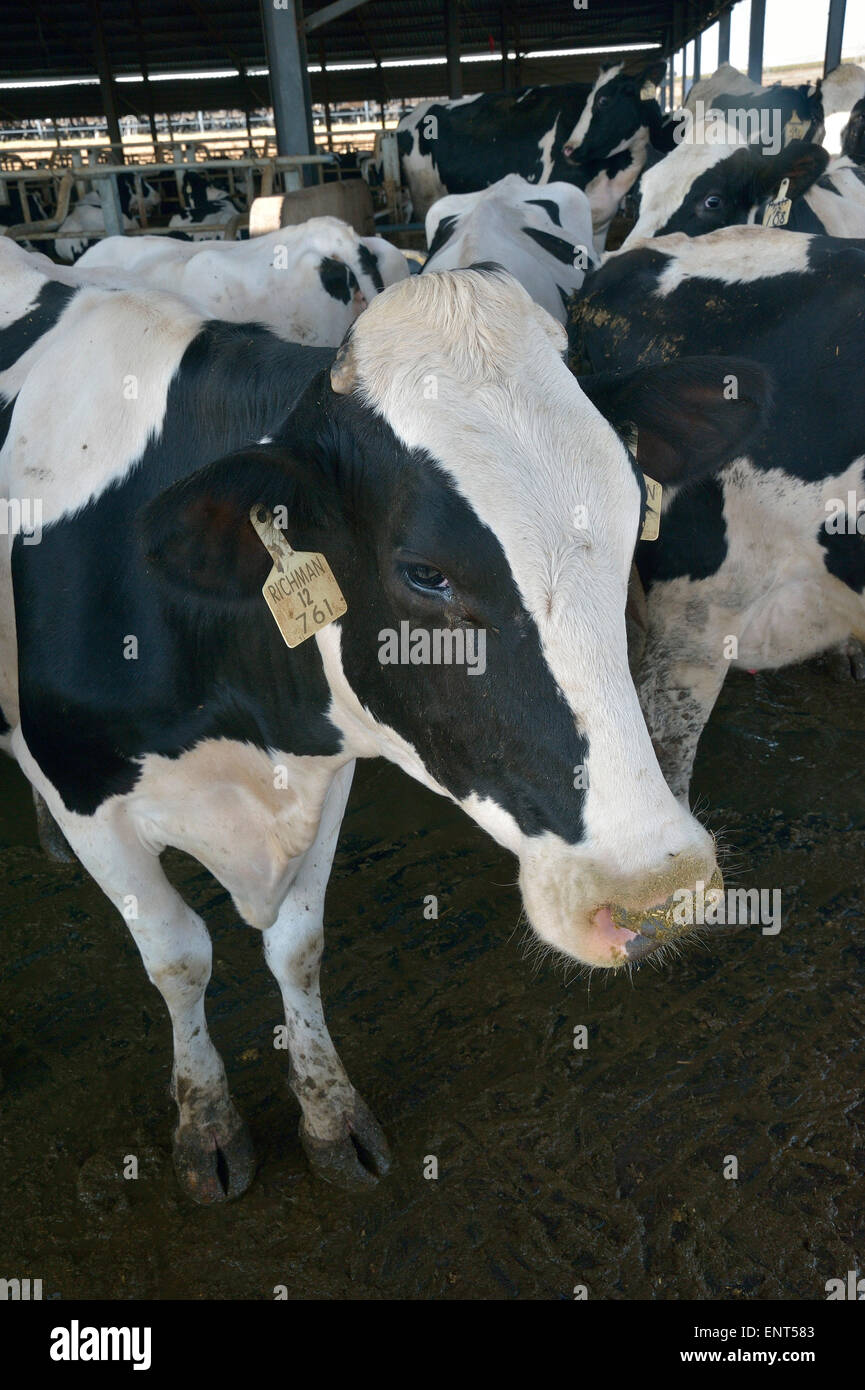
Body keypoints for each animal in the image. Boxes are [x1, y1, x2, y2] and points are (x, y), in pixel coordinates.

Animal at [1, 240, 769, 1200]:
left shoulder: (326, 771)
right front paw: (206, 1122)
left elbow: (296, 945)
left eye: (637, 520)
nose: (655, 892)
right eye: (423, 572)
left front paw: (328, 1113)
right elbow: (178, 955)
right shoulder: (87, 792)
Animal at [397, 62, 667, 248]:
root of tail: (413, 110)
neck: (611, 171)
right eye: (596, 99)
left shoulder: (602, 220)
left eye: (603, 100)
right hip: (424, 197)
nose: (568, 149)